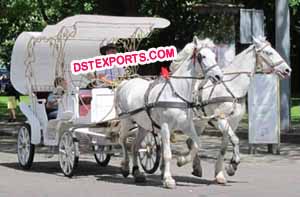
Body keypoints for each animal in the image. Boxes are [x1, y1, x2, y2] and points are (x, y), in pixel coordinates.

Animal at [115, 36, 223, 189]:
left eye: (215, 56)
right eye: (202, 56)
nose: (219, 76)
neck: (177, 93)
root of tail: (125, 83)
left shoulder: (187, 126)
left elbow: (197, 144)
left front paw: (182, 160)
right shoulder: (165, 127)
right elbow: (167, 154)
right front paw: (168, 179)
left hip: (143, 126)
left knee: (135, 146)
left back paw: (137, 173)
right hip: (126, 121)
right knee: (122, 140)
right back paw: (125, 167)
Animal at [184, 35, 292, 185]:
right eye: (269, 52)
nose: (288, 70)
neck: (232, 87)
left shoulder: (233, 122)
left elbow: (224, 146)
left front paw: (220, 174)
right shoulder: (220, 120)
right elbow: (235, 140)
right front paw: (233, 164)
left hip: (200, 123)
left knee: (191, 142)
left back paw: (197, 167)